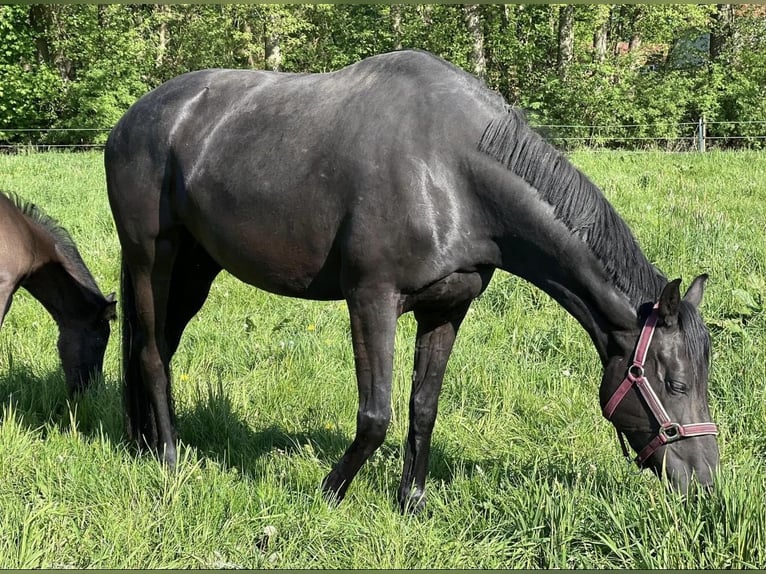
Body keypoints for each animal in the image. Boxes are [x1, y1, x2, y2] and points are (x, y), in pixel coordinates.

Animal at [106, 49, 720, 512]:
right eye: (675, 383)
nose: (706, 483)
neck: (450, 173)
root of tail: (131, 120)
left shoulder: (446, 309)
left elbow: (423, 406)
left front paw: (412, 502)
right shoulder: (371, 301)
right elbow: (374, 415)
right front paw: (329, 494)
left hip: (194, 270)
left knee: (159, 347)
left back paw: (146, 443)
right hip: (151, 260)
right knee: (152, 355)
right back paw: (169, 459)